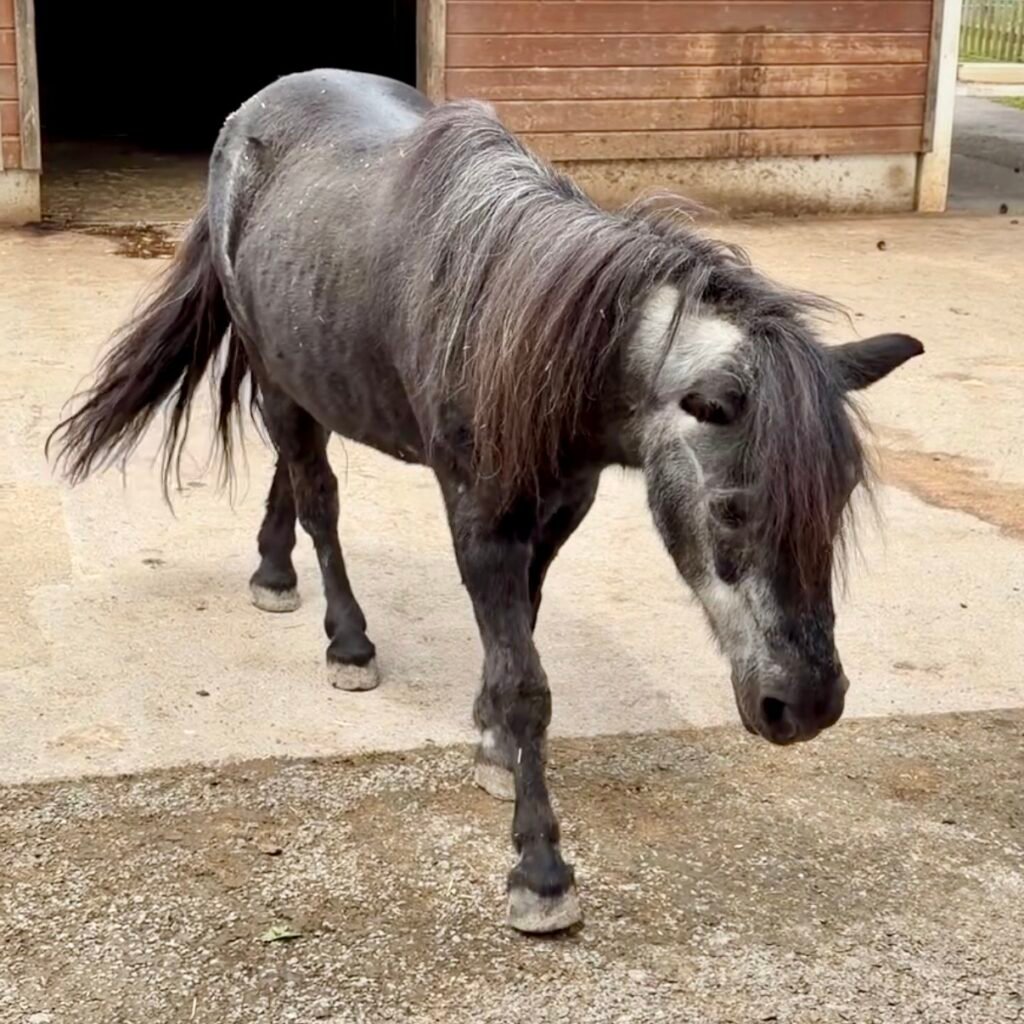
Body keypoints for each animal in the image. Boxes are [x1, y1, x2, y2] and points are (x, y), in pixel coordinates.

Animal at [48, 69, 923, 934]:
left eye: (841, 500)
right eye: (731, 509)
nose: (806, 704)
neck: (529, 336)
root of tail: (251, 112)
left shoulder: (560, 507)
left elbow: (520, 631)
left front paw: (494, 746)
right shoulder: (480, 516)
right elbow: (525, 681)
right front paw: (539, 869)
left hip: (307, 369)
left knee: (293, 477)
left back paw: (272, 574)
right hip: (274, 370)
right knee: (318, 495)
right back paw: (348, 644)